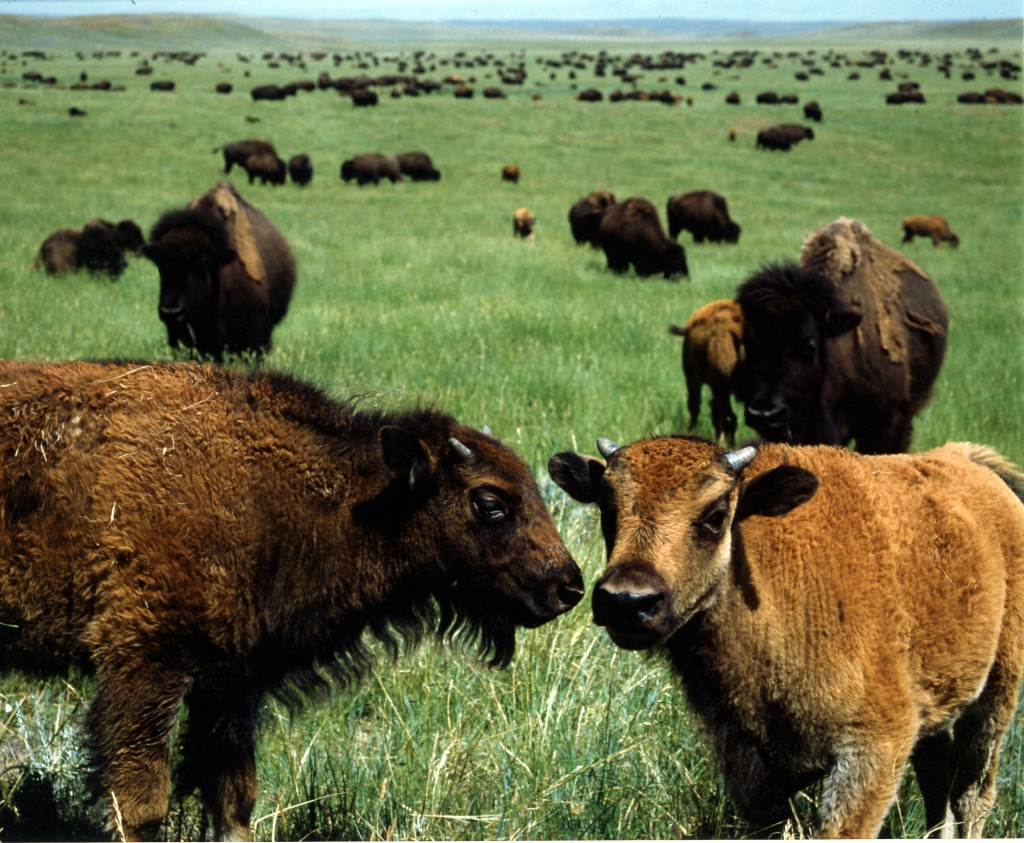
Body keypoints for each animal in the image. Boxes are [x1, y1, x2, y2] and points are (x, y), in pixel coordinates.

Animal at [0, 360, 585, 843]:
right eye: (489, 503)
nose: (569, 586)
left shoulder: (233, 685)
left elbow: (234, 800)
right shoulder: (146, 665)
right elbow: (142, 806)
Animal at [552, 438, 1024, 839]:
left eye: (715, 516)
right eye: (607, 508)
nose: (626, 600)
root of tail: (969, 461)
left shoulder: (873, 747)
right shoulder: (750, 767)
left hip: (997, 695)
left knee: (972, 794)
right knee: (936, 779)